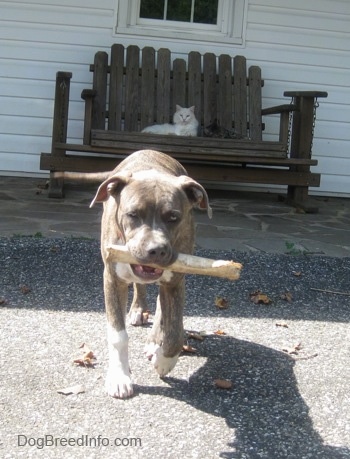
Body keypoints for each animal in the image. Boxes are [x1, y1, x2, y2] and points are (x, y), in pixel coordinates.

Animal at [85, 151, 212, 398]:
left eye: (173, 217)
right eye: (132, 214)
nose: (157, 250)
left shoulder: (176, 282)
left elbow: (174, 333)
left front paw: (164, 361)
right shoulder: (112, 279)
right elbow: (118, 335)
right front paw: (119, 376)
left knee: (162, 307)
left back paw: (155, 341)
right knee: (140, 287)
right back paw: (137, 310)